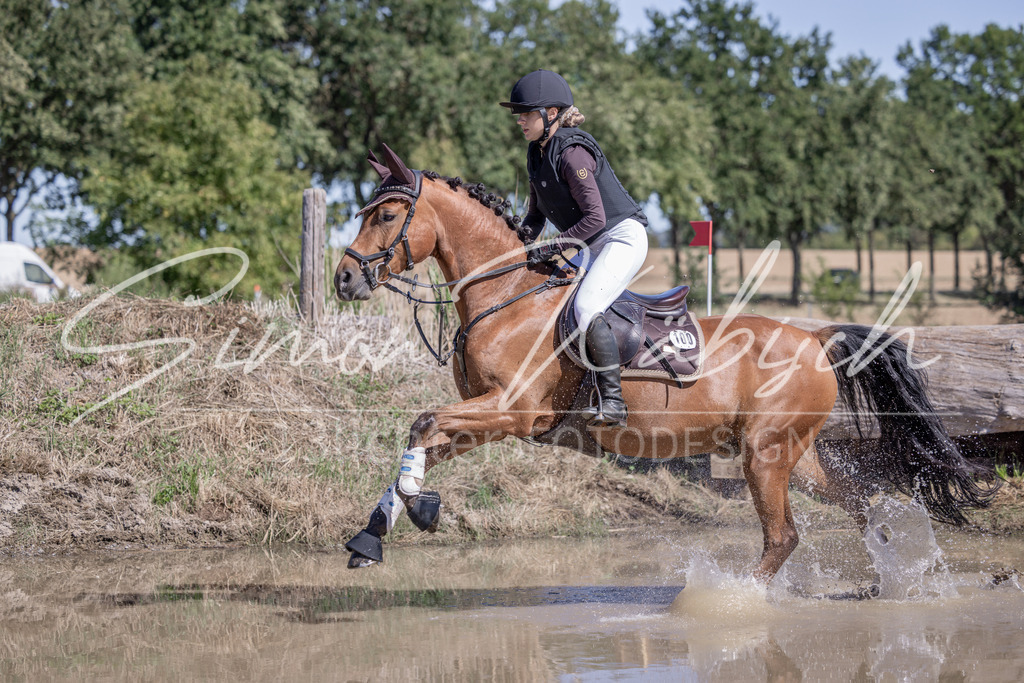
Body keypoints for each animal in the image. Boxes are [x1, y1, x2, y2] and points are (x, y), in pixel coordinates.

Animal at [334, 144, 996, 582]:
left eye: (386, 216)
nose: (343, 279)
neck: (508, 296)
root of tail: (814, 340)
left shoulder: (510, 412)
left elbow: (422, 422)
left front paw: (417, 511)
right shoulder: (483, 417)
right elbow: (420, 438)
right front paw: (377, 532)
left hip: (766, 456)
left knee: (783, 537)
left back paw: (736, 601)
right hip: (793, 455)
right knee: (859, 508)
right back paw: (893, 580)